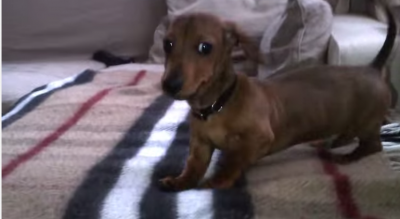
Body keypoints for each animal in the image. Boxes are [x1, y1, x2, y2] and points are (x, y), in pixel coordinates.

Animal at [158, 2, 396, 190]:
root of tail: (371, 67)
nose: (170, 85)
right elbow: (193, 167)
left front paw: (220, 179)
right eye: (167, 44)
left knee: (374, 145)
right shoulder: (201, 145)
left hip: (366, 123)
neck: (217, 105)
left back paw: (348, 155)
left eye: (205, 47)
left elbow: (234, 160)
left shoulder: (258, 138)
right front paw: (180, 182)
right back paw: (333, 142)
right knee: (349, 135)